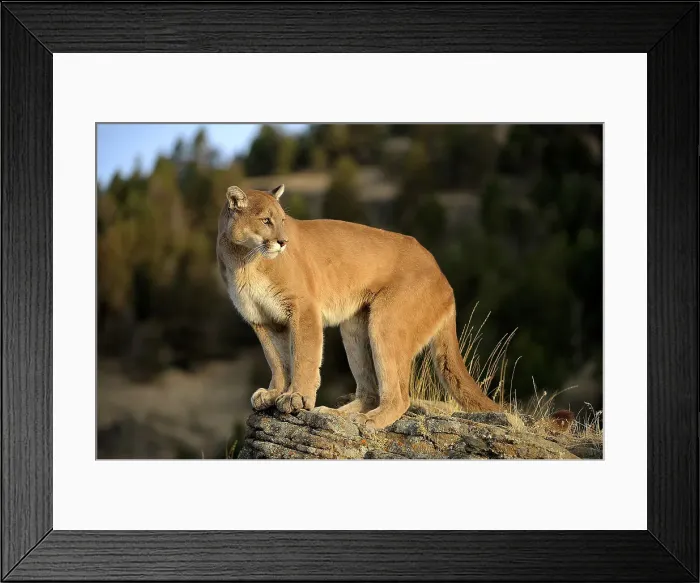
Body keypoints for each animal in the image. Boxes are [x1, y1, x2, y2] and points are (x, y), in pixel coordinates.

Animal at [217, 184, 504, 430]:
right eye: (266, 220)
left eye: (283, 221)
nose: (283, 242)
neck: (244, 260)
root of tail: (442, 276)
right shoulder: (261, 319)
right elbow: (277, 360)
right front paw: (274, 392)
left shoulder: (302, 308)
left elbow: (303, 356)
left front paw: (296, 396)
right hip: (354, 328)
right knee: (371, 392)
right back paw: (334, 414)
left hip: (386, 322)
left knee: (400, 396)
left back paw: (368, 421)